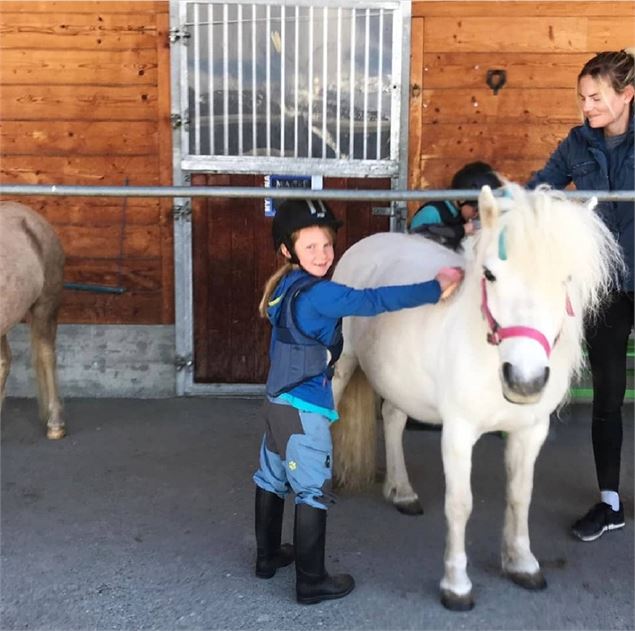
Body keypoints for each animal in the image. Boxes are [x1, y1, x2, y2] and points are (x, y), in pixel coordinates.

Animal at [330, 184, 624, 612]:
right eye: (490, 274)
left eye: (566, 279)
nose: (524, 381)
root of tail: (371, 242)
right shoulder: (457, 432)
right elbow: (460, 504)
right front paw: (456, 585)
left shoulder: (530, 431)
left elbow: (520, 495)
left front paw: (522, 563)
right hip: (344, 360)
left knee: (394, 420)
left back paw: (402, 492)